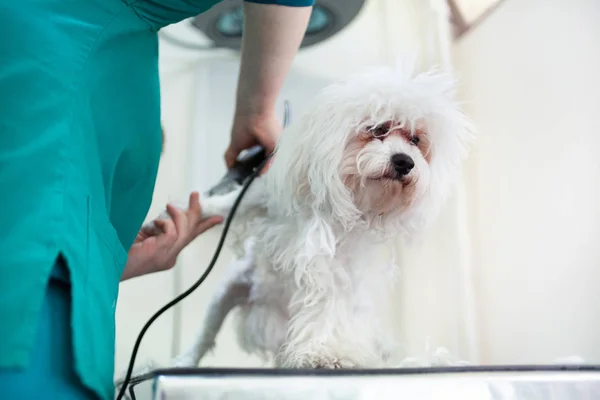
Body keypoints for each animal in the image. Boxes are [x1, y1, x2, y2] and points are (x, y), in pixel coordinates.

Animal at [126, 60, 474, 378]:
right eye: (378, 129)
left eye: (416, 141)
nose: (405, 162)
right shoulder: (261, 196)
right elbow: (222, 206)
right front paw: (178, 216)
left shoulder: (335, 270)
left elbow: (326, 311)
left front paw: (323, 354)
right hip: (224, 295)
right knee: (203, 339)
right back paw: (179, 363)